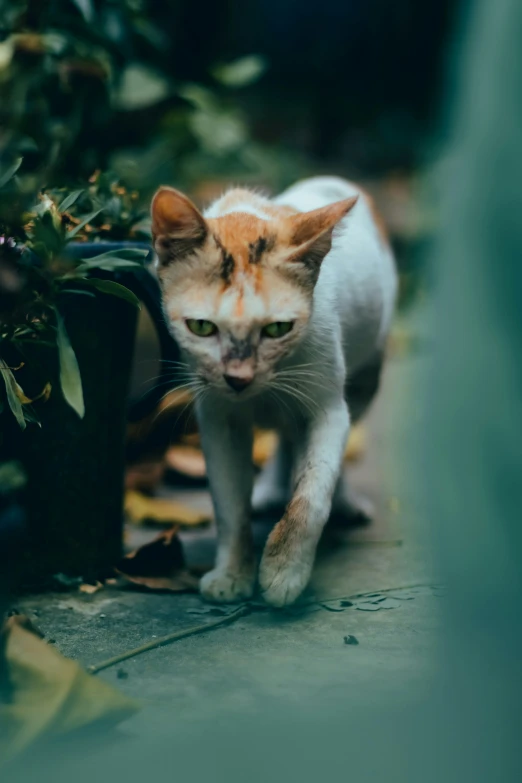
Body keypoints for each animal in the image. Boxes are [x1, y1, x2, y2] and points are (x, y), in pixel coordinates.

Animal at [152, 178, 396, 608]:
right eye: (201, 327)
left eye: (277, 329)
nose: (239, 378)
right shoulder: (217, 418)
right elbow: (229, 504)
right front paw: (233, 574)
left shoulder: (329, 408)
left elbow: (312, 493)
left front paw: (285, 573)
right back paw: (269, 489)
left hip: (366, 378)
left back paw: (343, 503)